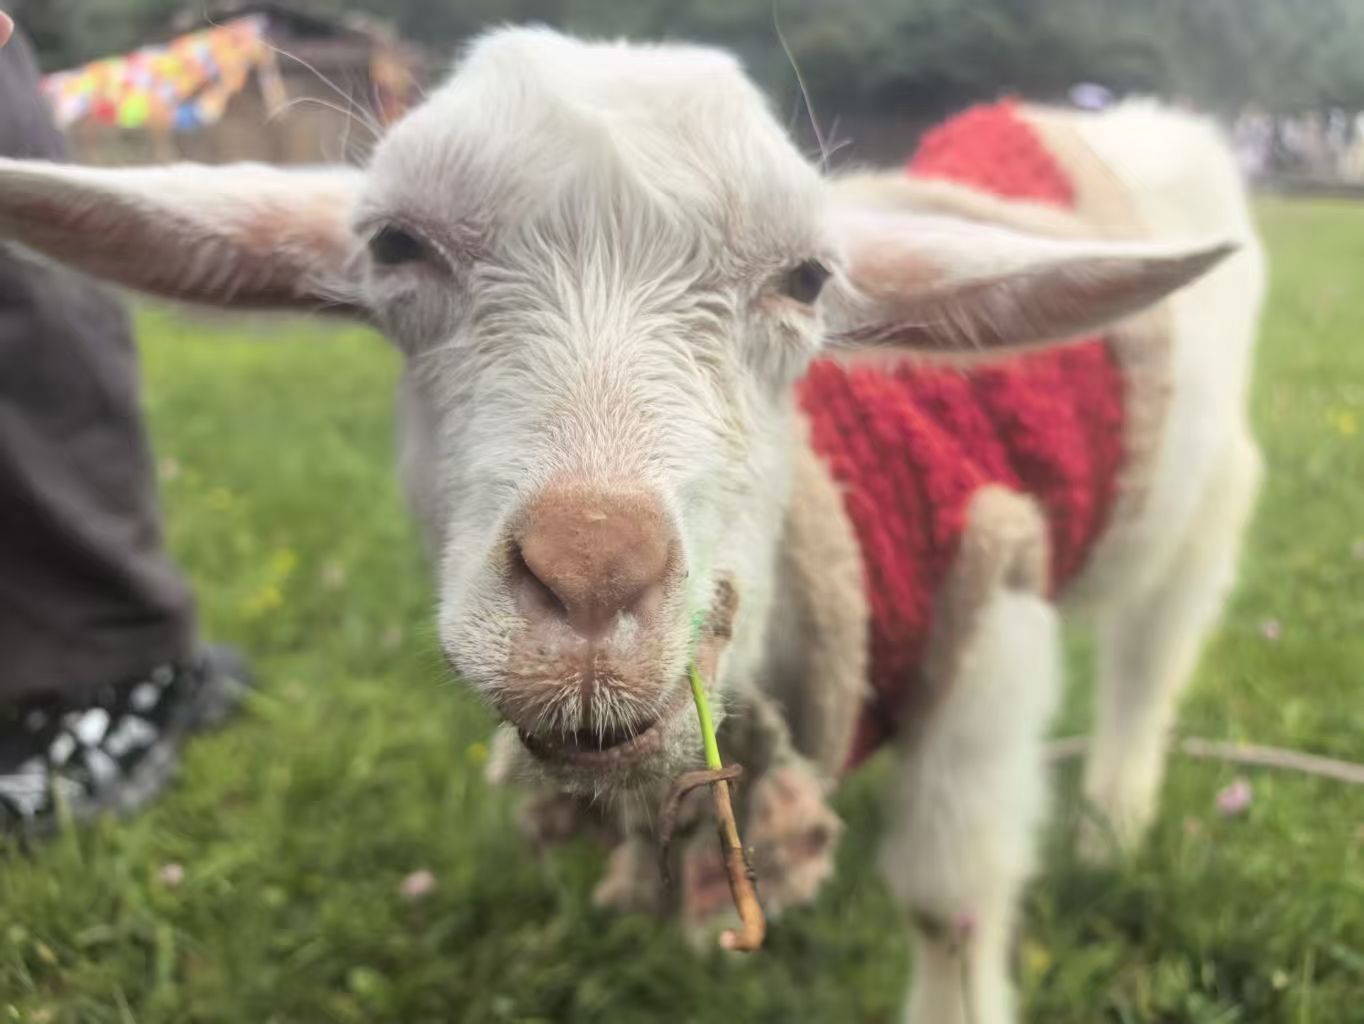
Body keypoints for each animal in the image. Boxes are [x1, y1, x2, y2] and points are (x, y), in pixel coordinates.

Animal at [0, 27, 1263, 1023]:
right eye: (396, 246)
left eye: (807, 279)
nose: (592, 576)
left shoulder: (988, 602)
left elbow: (945, 898)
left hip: (1203, 500)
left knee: (1153, 649)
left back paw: (1111, 821)